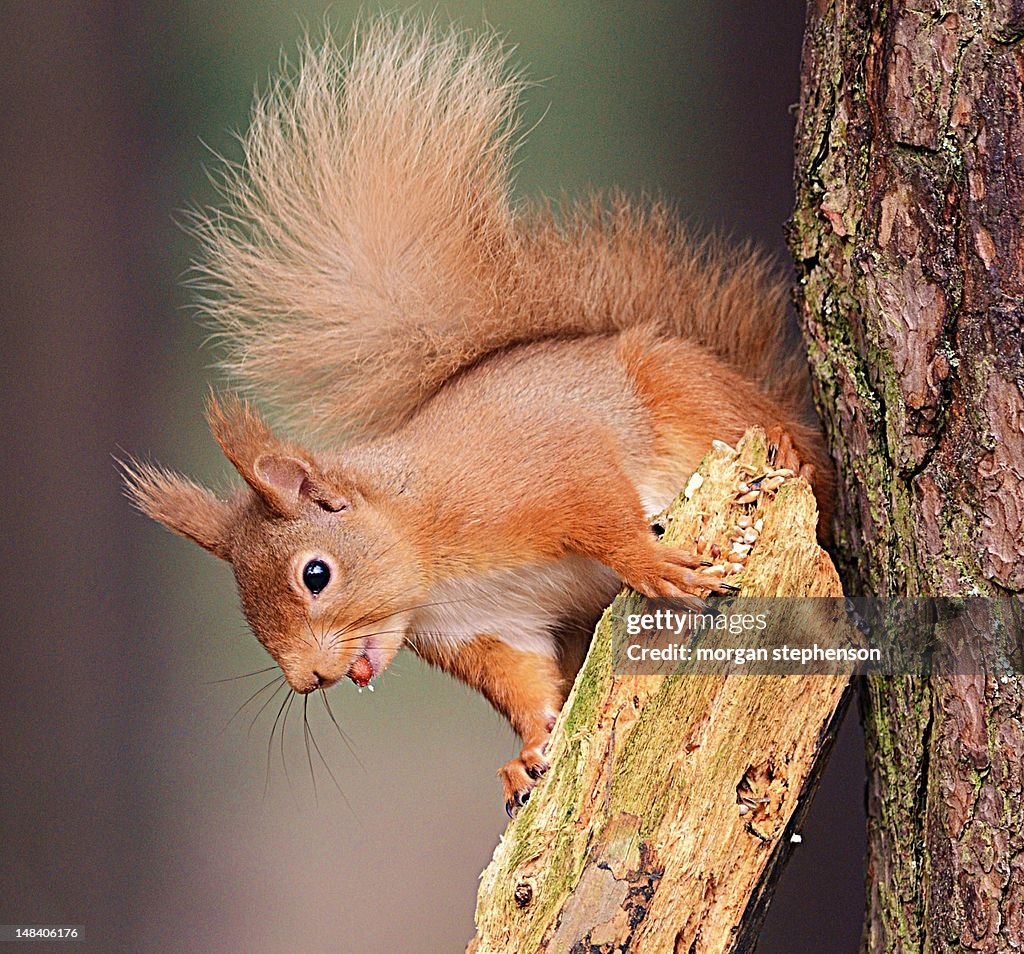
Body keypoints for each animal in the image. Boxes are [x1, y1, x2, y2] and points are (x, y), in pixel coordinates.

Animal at [125, 22, 831, 810]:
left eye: (315, 575)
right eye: (248, 615)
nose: (309, 680)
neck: (426, 554)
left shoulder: (540, 478)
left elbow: (603, 516)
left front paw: (656, 565)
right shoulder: (484, 631)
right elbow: (522, 685)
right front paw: (527, 757)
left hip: (679, 385)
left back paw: (788, 453)